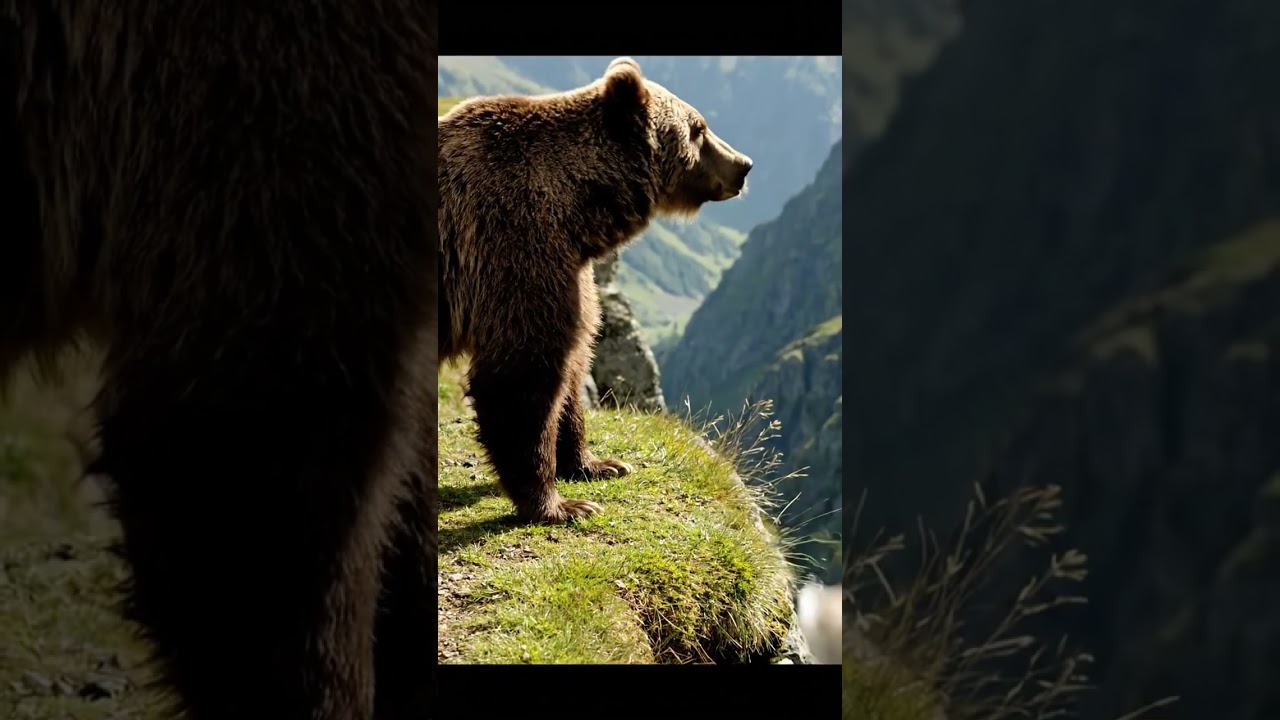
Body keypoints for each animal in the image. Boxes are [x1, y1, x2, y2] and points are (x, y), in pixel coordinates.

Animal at [438, 57, 753, 523]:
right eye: (698, 127)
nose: (744, 164)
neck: (579, 209)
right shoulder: (515, 246)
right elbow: (521, 373)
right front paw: (559, 504)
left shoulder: (571, 270)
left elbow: (574, 365)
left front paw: (597, 464)